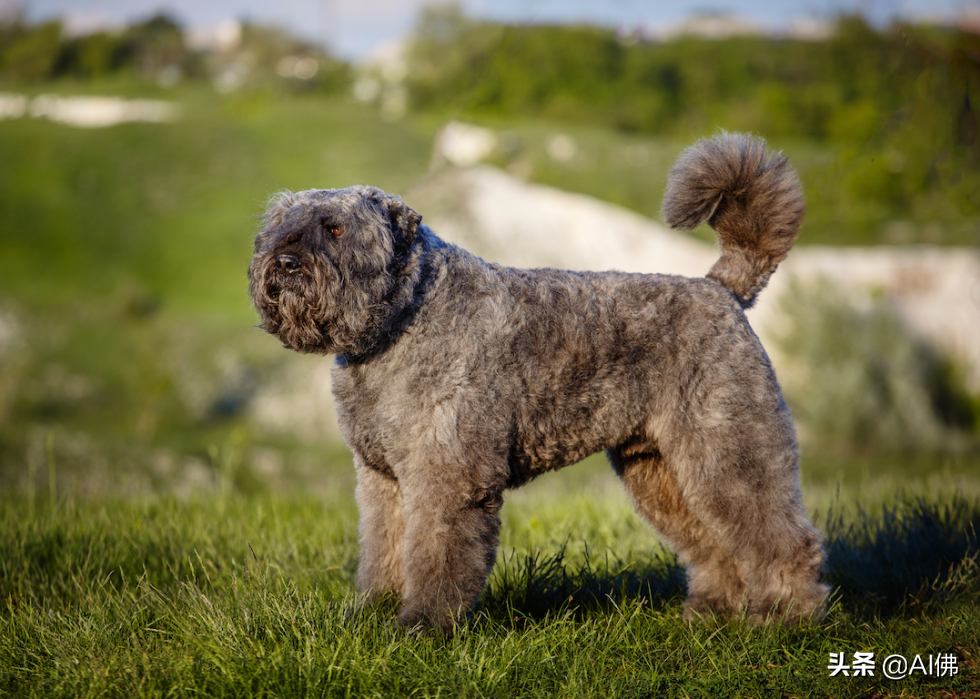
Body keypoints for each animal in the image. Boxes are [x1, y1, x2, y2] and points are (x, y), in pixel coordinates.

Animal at [247, 131, 828, 636]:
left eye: (335, 229)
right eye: (280, 225)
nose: (284, 262)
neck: (402, 318)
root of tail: (722, 290)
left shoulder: (447, 477)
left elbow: (435, 555)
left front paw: (422, 626)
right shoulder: (382, 478)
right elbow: (384, 550)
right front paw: (374, 612)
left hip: (728, 448)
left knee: (782, 539)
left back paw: (784, 620)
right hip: (660, 469)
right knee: (713, 547)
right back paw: (711, 614)